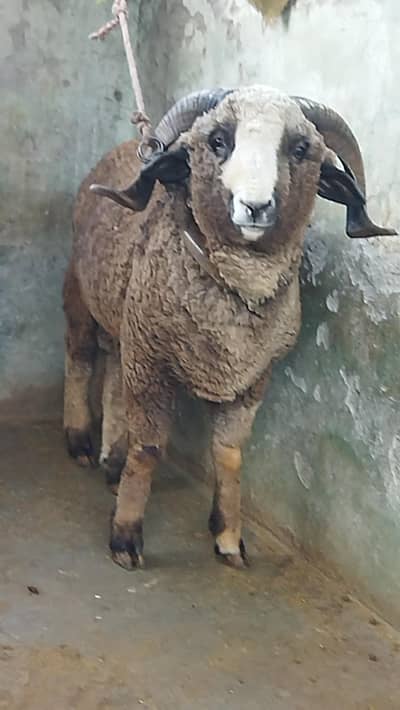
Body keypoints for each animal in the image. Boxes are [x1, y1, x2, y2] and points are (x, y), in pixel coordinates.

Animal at [63, 85, 396, 570]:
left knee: (112, 379)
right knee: (81, 358)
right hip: (80, 290)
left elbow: (230, 454)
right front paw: (125, 537)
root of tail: (130, 147)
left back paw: (111, 461)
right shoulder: (152, 359)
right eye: (217, 140)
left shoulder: (251, 378)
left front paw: (228, 538)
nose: (255, 207)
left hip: (125, 318)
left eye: (301, 148)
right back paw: (81, 443)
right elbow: (149, 448)